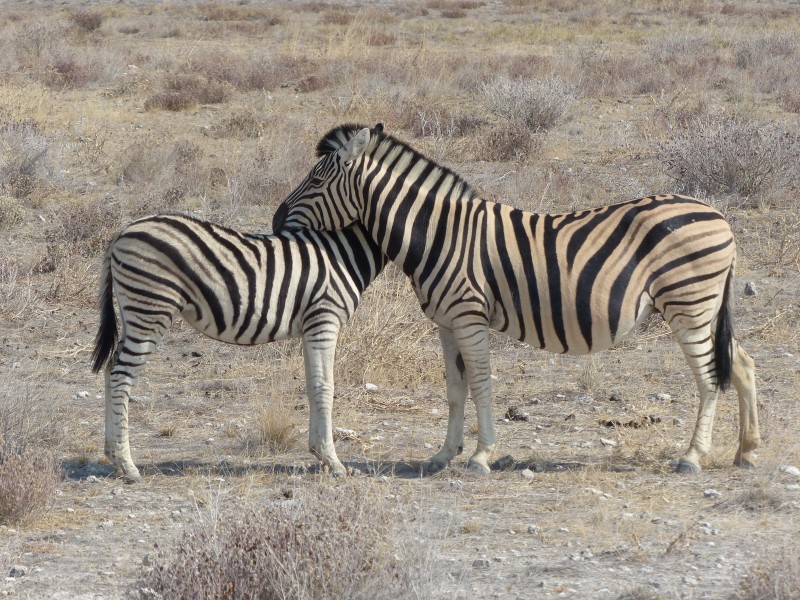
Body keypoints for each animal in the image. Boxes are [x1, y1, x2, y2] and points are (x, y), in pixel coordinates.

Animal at [90, 216, 384, 482]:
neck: (344, 253)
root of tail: (123, 231)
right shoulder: (324, 319)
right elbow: (325, 387)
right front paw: (333, 462)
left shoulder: (310, 328)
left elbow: (312, 386)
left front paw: (320, 455)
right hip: (150, 308)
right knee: (121, 375)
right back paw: (127, 465)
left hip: (134, 311)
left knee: (111, 367)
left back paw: (113, 455)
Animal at [276, 124, 764, 476]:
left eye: (316, 179)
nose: (277, 220)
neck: (439, 235)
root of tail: (719, 216)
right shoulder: (445, 322)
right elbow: (455, 390)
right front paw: (442, 455)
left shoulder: (469, 316)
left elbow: (481, 383)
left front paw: (480, 457)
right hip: (705, 308)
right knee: (742, 363)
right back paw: (747, 452)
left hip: (688, 306)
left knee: (709, 378)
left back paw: (693, 458)